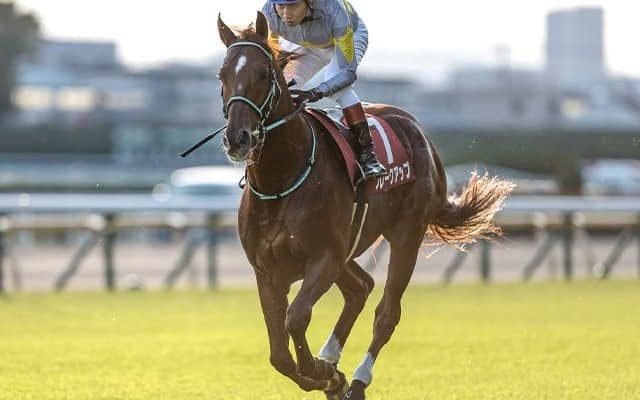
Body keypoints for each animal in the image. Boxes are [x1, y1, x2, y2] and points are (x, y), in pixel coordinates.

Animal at [216, 12, 514, 400]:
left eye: (264, 74)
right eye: (222, 75)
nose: (237, 138)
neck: (281, 180)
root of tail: (420, 133)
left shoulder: (325, 257)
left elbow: (296, 318)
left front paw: (324, 373)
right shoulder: (267, 270)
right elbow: (279, 354)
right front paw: (326, 373)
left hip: (405, 236)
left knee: (386, 312)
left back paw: (356, 379)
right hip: (350, 249)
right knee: (360, 288)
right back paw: (333, 359)